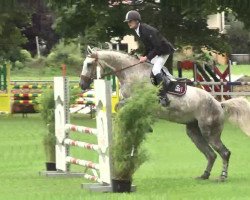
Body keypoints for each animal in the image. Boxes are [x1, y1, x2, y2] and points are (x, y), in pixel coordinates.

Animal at [79, 47, 250, 181]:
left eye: (89, 64)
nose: (82, 85)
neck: (131, 72)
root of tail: (219, 104)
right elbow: (120, 107)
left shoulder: (136, 101)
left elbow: (120, 106)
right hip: (194, 131)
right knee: (211, 154)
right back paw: (204, 175)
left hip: (209, 132)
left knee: (224, 152)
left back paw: (222, 176)